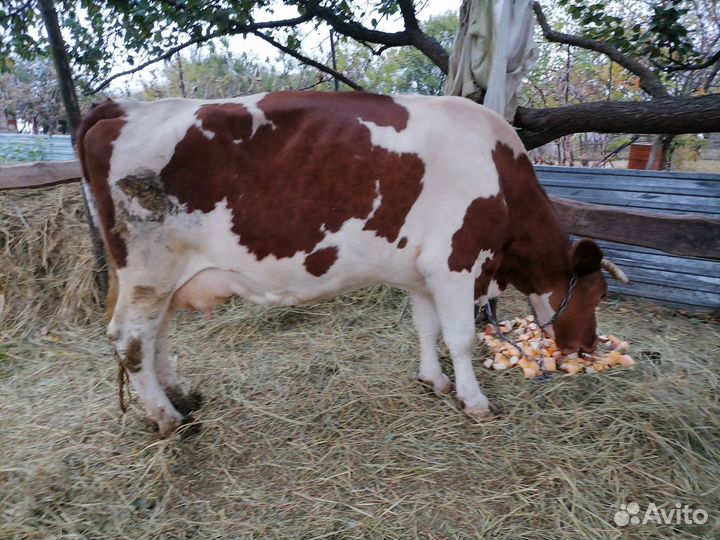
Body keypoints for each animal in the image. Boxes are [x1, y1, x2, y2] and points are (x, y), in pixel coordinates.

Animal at [77, 91, 614, 438]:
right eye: (598, 293)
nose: (589, 345)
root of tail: (121, 107)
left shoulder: (421, 272)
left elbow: (426, 328)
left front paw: (434, 381)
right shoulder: (454, 261)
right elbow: (459, 337)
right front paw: (474, 400)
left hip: (163, 278)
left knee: (156, 337)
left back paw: (180, 398)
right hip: (149, 269)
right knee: (131, 338)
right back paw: (167, 419)